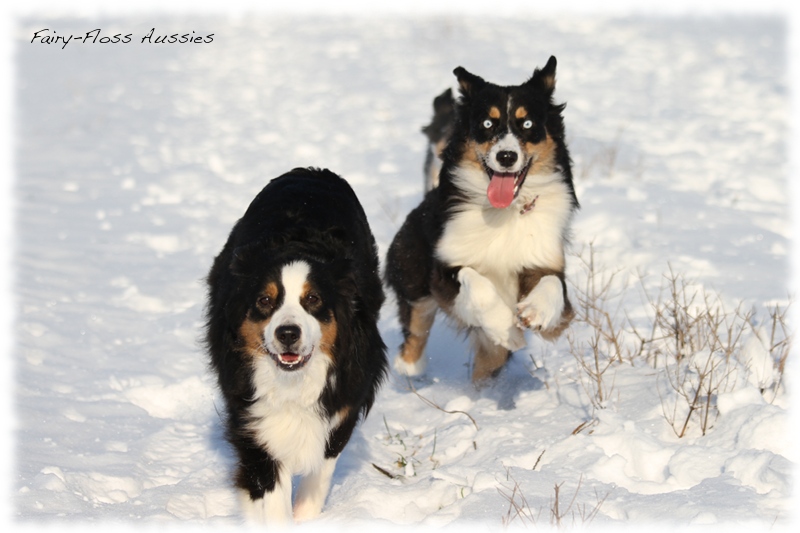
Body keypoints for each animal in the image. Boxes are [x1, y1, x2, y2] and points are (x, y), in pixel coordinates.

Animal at [206, 167, 388, 524]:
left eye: (313, 299)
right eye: (265, 300)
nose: (287, 333)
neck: (293, 383)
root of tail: (310, 170)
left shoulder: (343, 403)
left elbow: (321, 468)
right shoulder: (253, 417)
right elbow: (269, 487)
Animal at [384, 57, 580, 382]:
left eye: (528, 124)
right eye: (488, 124)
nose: (506, 157)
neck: (505, 211)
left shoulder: (544, 261)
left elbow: (552, 283)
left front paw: (534, 312)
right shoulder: (444, 266)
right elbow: (475, 283)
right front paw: (506, 328)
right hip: (411, 269)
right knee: (415, 328)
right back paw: (411, 369)